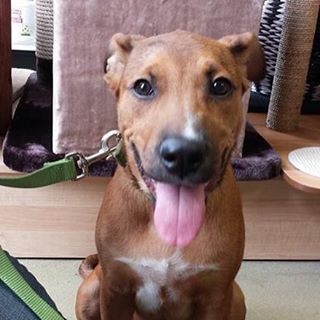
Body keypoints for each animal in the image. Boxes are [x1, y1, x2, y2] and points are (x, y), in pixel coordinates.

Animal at [75, 30, 264, 320]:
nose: (184, 154)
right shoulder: (115, 287)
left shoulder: (216, 295)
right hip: (92, 288)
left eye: (220, 86)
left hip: (236, 297)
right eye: (143, 87)